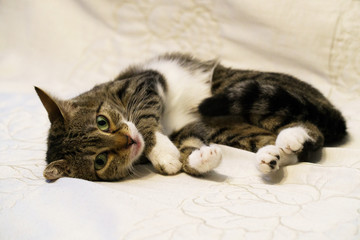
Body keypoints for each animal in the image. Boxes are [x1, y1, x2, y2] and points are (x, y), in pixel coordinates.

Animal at [34, 52, 346, 180]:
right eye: (100, 161)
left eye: (102, 122)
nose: (130, 142)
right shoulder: (189, 129)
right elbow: (188, 149)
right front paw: (197, 159)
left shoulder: (144, 83)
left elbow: (146, 118)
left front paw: (163, 153)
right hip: (227, 127)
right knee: (273, 142)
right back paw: (272, 155)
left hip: (233, 91)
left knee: (313, 131)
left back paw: (293, 136)